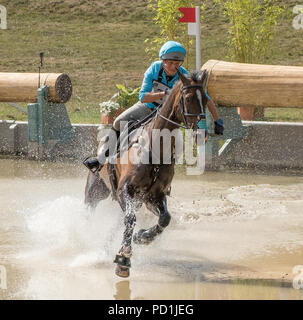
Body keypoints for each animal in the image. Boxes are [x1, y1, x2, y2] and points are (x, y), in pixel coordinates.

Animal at [84, 70, 210, 278]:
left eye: (206, 100)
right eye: (188, 98)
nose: (201, 133)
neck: (155, 148)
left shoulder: (153, 196)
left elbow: (164, 219)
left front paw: (142, 237)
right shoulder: (124, 191)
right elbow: (130, 220)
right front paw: (124, 259)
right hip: (96, 189)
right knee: (89, 210)